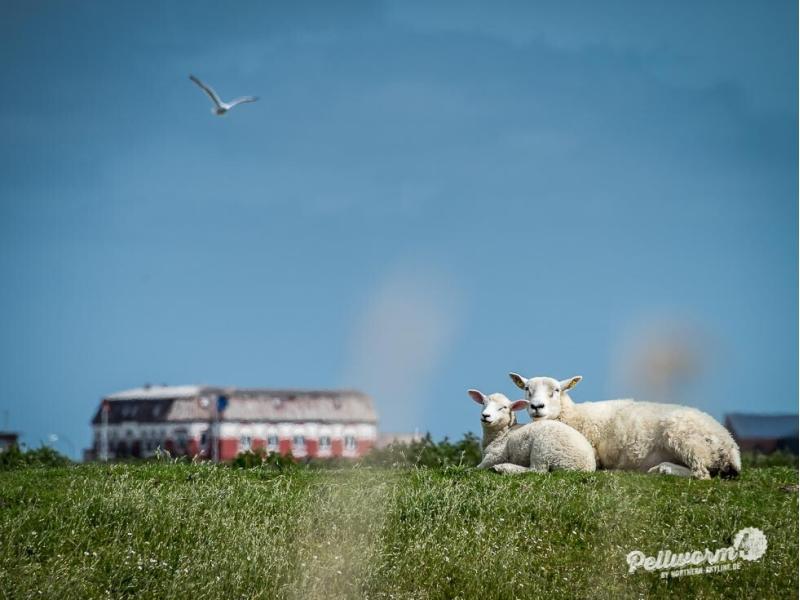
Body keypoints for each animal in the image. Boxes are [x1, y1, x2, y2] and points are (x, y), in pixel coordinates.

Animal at [510, 372, 740, 480]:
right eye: (527, 389)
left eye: (556, 390)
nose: (536, 406)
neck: (573, 415)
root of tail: (731, 446)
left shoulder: (592, 454)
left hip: (686, 440)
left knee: (701, 474)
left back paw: (664, 469)